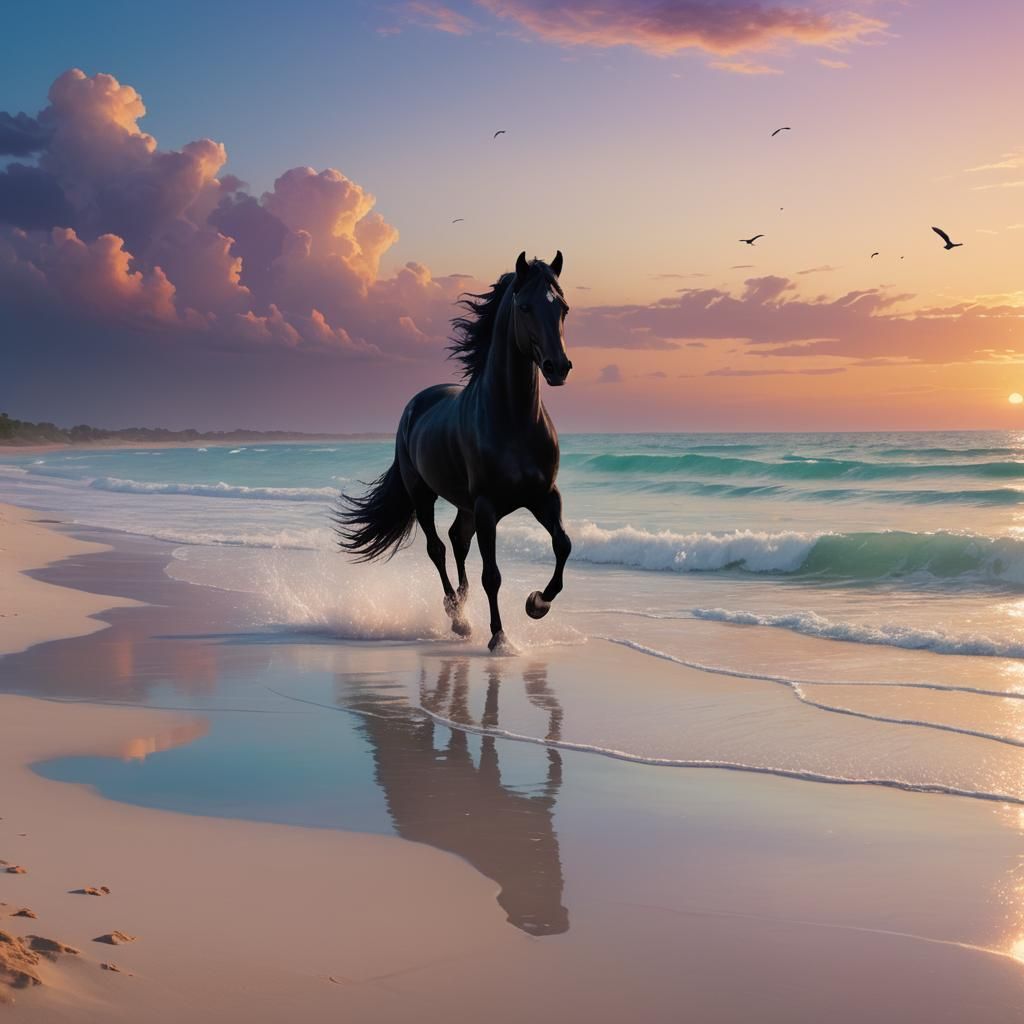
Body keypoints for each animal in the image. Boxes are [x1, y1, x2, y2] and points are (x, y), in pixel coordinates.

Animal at [334, 250, 573, 652]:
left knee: (457, 539)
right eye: (525, 307)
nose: (559, 368)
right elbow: (492, 575)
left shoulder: (544, 496)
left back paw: (461, 604)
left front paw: (537, 603)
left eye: (563, 308)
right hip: (424, 495)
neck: (513, 419)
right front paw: (499, 637)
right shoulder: (488, 505)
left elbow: (563, 544)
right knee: (439, 548)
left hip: (465, 504)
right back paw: (457, 618)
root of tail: (416, 404)